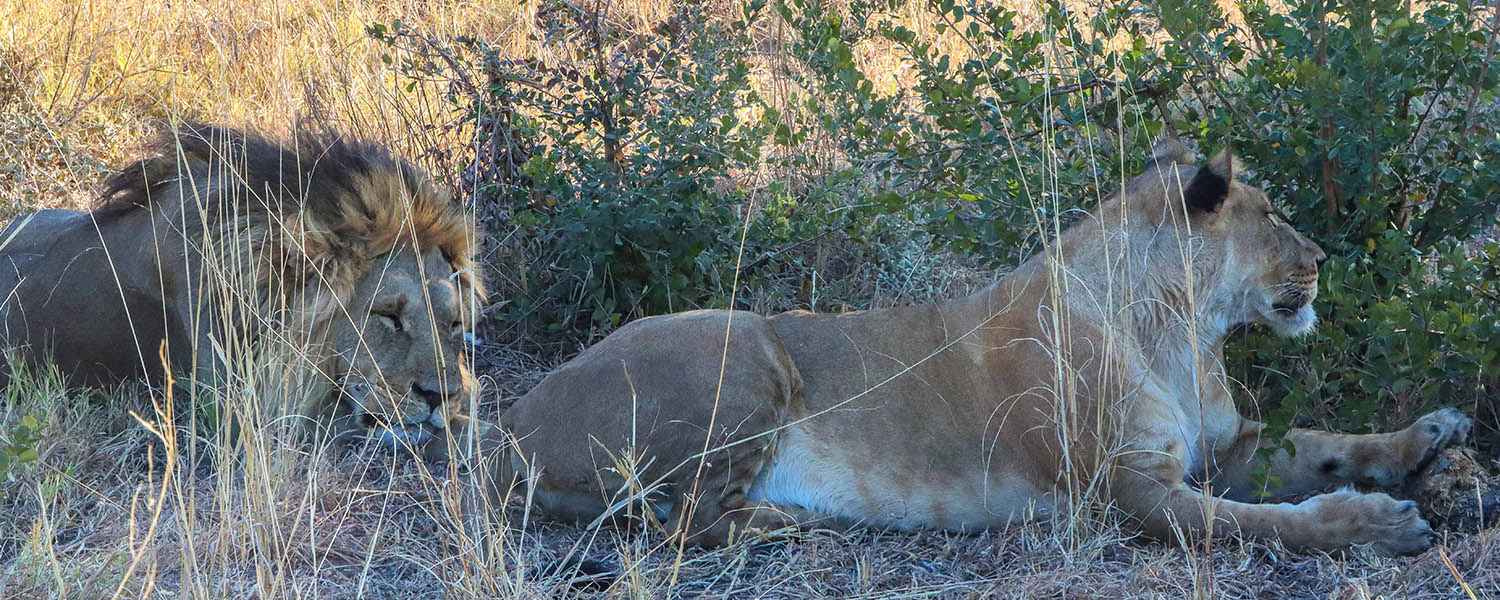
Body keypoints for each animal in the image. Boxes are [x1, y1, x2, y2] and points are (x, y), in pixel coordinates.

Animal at [480, 139, 1470, 555]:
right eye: (1269, 215)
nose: (1322, 259)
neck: (1184, 330)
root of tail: (502, 428)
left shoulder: (1228, 448)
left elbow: (1325, 443)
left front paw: (1431, 437)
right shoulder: (1127, 493)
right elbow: (1265, 522)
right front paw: (1379, 525)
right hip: (739, 350)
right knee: (681, 519)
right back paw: (797, 522)